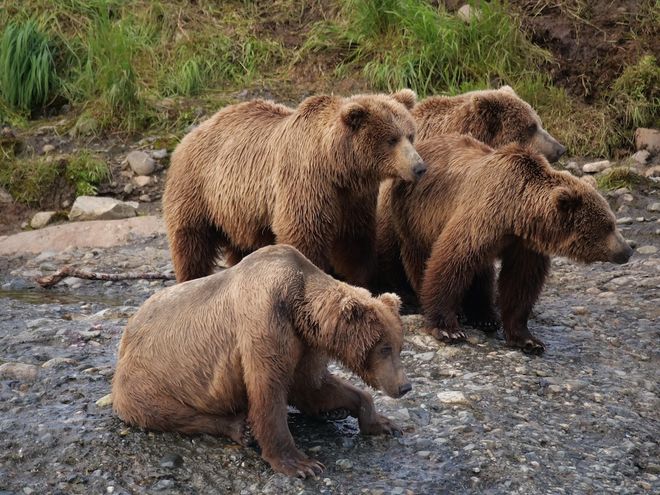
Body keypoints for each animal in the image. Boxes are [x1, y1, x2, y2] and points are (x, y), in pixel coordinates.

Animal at [112, 244, 411, 478]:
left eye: (399, 346)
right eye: (384, 348)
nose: (405, 386)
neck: (299, 306)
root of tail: (124, 338)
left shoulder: (304, 343)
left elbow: (314, 387)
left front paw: (384, 423)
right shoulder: (264, 320)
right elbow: (269, 390)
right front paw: (301, 464)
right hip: (149, 379)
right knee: (167, 412)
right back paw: (239, 426)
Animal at [163, 90, 426, 285]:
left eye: (410, 135)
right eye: (391, 139)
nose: (419, 167)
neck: (337, 167)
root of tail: (191, 134)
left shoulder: (353, 199)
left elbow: (355, 241)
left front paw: (362, 282)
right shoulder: (305, 181)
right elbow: (304, 234)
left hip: (238, 212)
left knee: (241, 245)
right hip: (198, 189)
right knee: (191, 241)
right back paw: (190, 278)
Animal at [384, 134, 632, 354]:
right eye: (608, 226)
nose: (627, 250)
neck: (517, 215)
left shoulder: (525, 245)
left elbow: (521, 283)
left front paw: (528, 340)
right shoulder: (482, 218)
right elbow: (451, 261)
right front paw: (447, 329)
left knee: (481, 271)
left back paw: (484, 317)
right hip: (416, 215)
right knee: (420, 258)